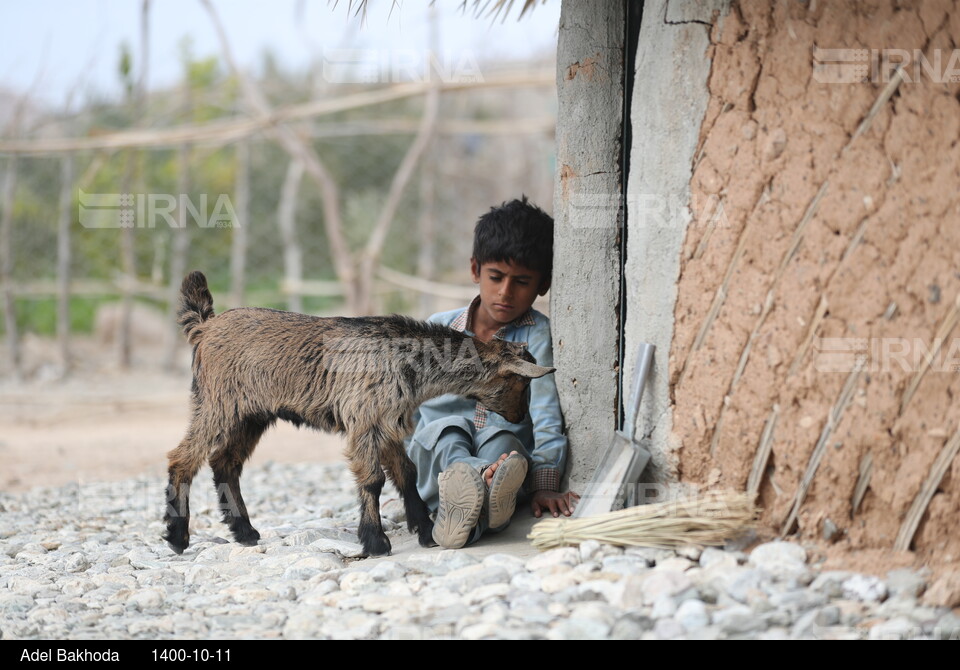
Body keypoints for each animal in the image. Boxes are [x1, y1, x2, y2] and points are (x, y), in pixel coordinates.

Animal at [165, 270, 556, 560]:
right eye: (522, 382)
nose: (520, 416)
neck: (405, 359)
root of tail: (205, 326)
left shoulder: (389, 421)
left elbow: (406, 473)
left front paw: (425, 530)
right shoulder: (364, 420)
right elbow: (373, 480)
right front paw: (375, 541)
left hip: (251, 415)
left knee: (225, 462)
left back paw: (244, 532)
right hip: (218, 404)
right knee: (183, 458)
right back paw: (177, 536)